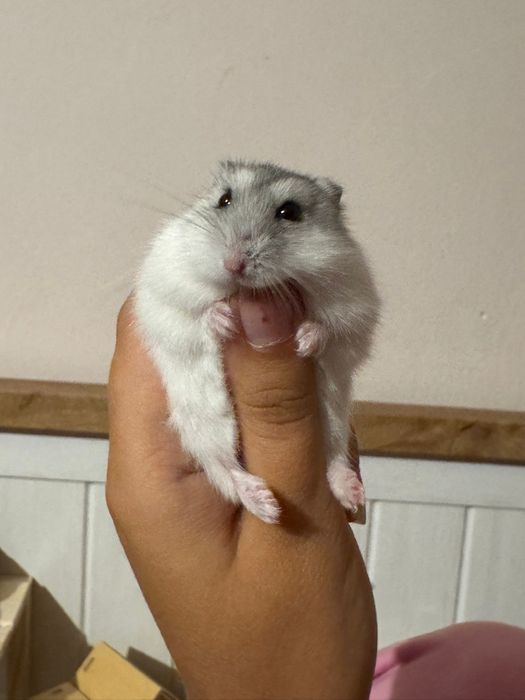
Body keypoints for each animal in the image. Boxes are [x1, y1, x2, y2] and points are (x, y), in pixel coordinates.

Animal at [135, 160, 380, 523]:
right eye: (224, 200)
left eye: (289, 212)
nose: (233, 264)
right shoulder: (166, 289)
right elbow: (195, 315)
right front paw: (224, 320)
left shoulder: (354, 305)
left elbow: (331, 328)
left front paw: (305, 341)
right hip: (204, 424)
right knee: (224, 469)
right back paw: (267, 506)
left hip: (334, 423)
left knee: (334, 459)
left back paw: (351, 495)